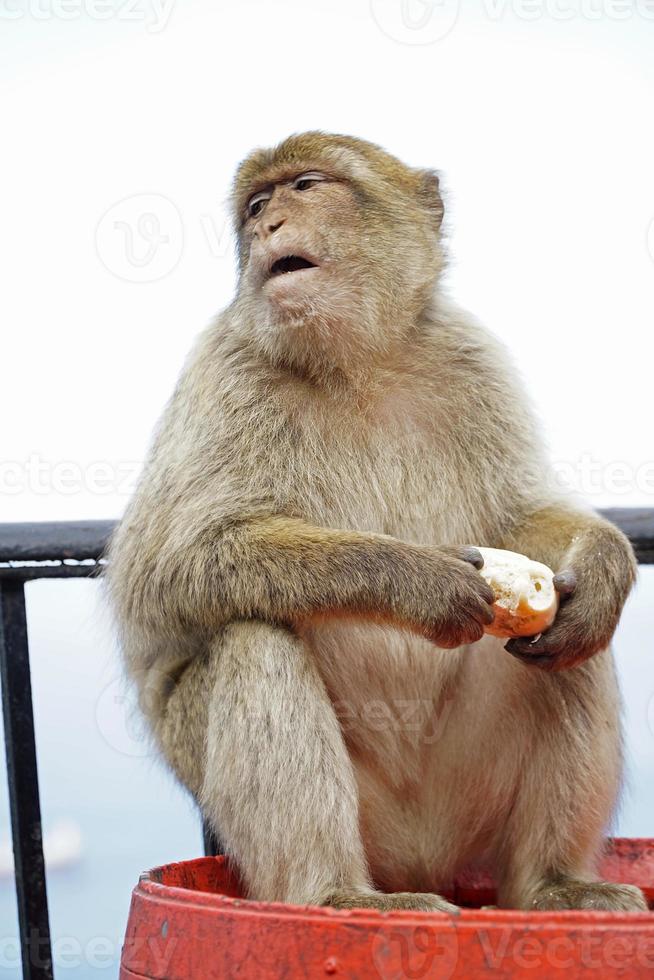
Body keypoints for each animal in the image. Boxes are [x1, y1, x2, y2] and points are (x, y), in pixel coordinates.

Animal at [107, 134, 652, 916]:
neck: (357, 362)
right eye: (256, 204)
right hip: (359, 820)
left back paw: (553, 883)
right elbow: (170, 571)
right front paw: (417, 580)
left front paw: (606, 563)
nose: (266, 226)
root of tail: (424, 861)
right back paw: (336, 895)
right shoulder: (223, 372)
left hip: (463, 797)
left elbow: (518, 519)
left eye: (305, 186)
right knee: (254, 639)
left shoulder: (471, 361)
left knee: (575, 652)